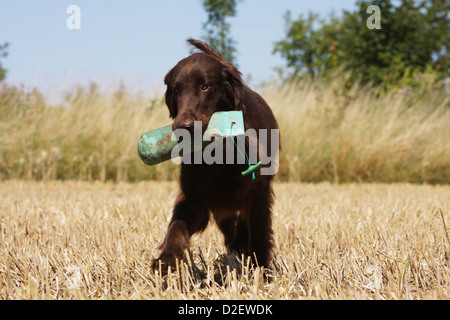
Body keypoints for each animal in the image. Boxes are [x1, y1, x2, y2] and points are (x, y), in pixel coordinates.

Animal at [153, 38, 280, 272]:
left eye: (205, 86)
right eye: (176, 90)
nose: (184, 126)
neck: (219, 152)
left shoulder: (258, 190)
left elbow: (259, 232)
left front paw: (262, 270)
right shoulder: (195, 196)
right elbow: (177, 225)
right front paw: (165, 260)